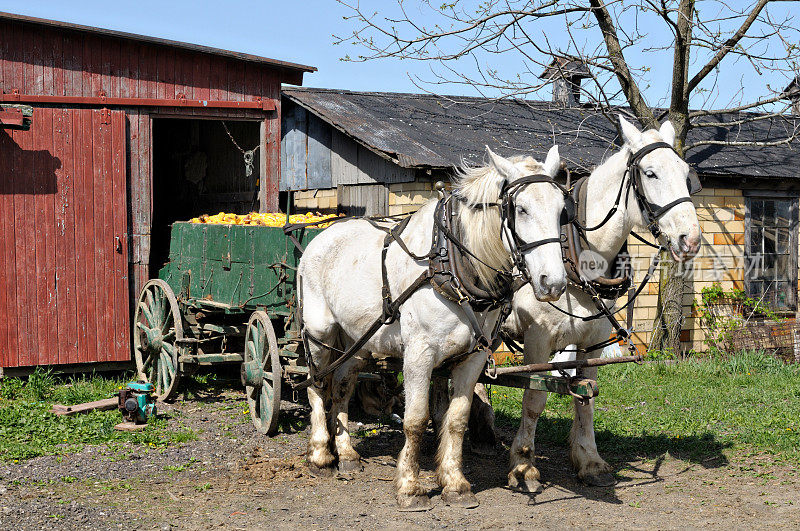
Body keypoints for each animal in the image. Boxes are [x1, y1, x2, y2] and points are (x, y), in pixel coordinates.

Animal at [300, 145, 568, 512]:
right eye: (522, 209)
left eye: (562, 210)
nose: (553, 283)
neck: (451, 265)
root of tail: (319, 238)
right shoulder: (419, 355)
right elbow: (415, 420)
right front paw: (410, 488)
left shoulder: (473, 357)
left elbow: (456, 419)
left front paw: (454, 484)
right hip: (320, 333)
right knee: (316, 384)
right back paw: (320, 455)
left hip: (358, 339)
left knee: (341, 385)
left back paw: (348, 454)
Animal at [500, 118, 700, 492]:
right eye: (650, 173)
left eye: (685, 173)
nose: (691, 239)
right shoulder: (536, 340)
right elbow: (534, 399)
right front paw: (524, 465)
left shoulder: (592, 340)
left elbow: (587, 397)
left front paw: (589, 460)